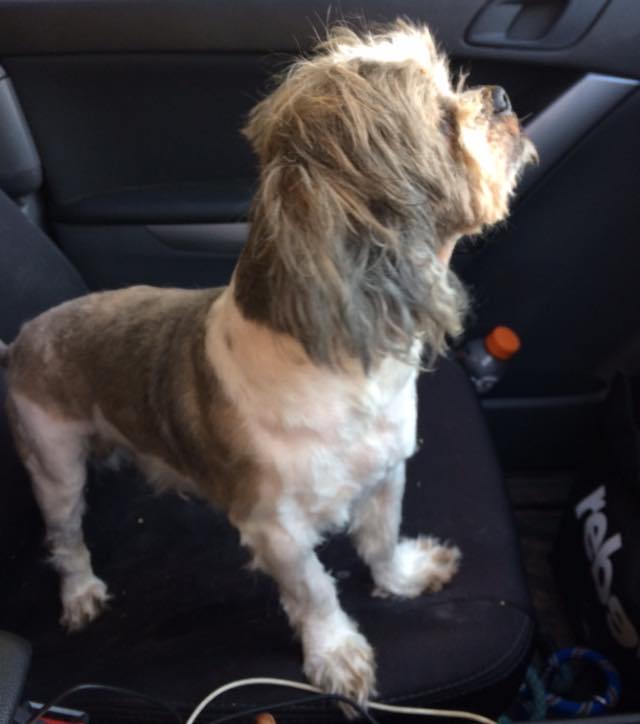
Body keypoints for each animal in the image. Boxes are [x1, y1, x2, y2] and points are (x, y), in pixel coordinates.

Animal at [0, 21, 536, 705]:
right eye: (443, 119)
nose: (498, 95)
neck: (346, 374)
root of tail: (22, 339)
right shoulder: (275, 532)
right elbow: (315, 592)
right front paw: (336, 654)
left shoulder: (385, 474)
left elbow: (381, 541)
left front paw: (404, 577)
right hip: (53, 463)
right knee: (66, 539)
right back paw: (81, 593)